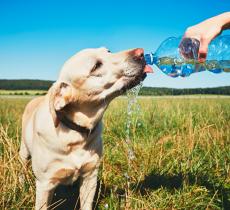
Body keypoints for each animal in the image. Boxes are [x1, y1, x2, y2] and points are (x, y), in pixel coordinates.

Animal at [19, 47, 153, 210]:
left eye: (108, 51)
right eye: (96, 66)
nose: (141, 52)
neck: (75, 133)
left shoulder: (90, 176)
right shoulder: (45, 184)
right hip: (23, 152)